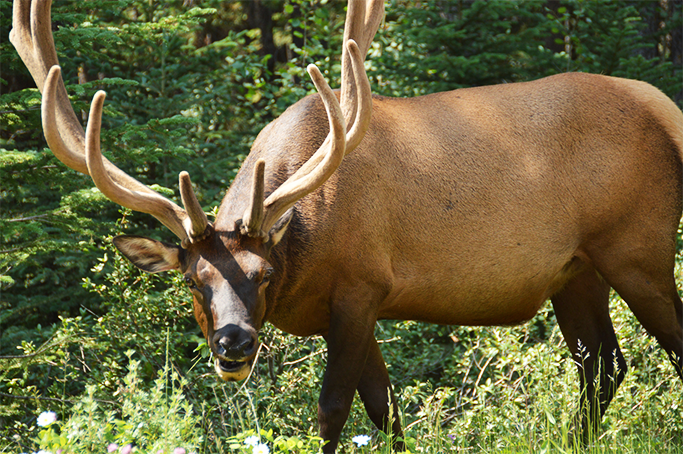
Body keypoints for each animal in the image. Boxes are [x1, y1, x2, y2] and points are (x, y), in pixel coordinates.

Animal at [12, 0, 683, 450]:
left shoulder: (361, 289)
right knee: (604, 366)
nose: (234, 345)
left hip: (638, 249)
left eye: (263, 273)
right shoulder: (362, 306)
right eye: (193, 281)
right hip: (575, 272)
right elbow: (386, 411)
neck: (302, 252)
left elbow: (333, 410)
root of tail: (665, 108)